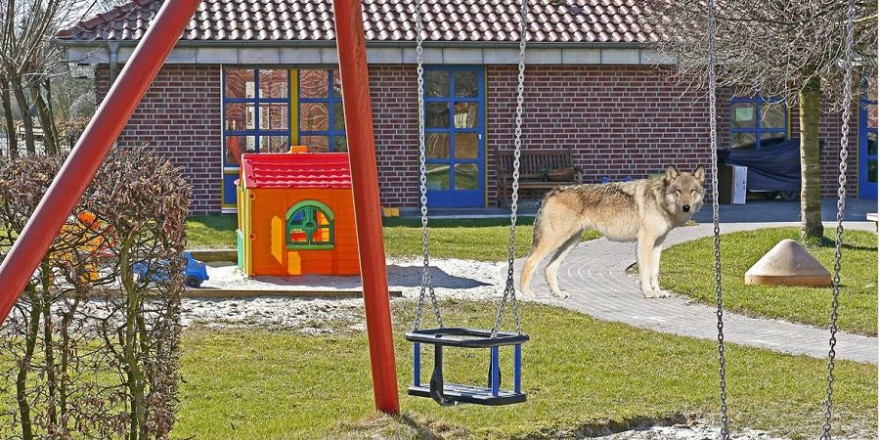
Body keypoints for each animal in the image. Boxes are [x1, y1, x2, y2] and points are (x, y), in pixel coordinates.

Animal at [520, 165, 704, 300]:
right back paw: (526, 293)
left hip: (571, 242)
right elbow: (645, 271)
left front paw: (658, 292)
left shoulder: (658, 243)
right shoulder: (645, 242)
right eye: (678, 191)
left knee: (549, 268)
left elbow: (654, 271)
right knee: (530, 262)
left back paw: (558, 294)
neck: (660, 200)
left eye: (692, 191)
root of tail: (550, 193)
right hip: (555, 241)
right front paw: (648, 293)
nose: (686, 207)